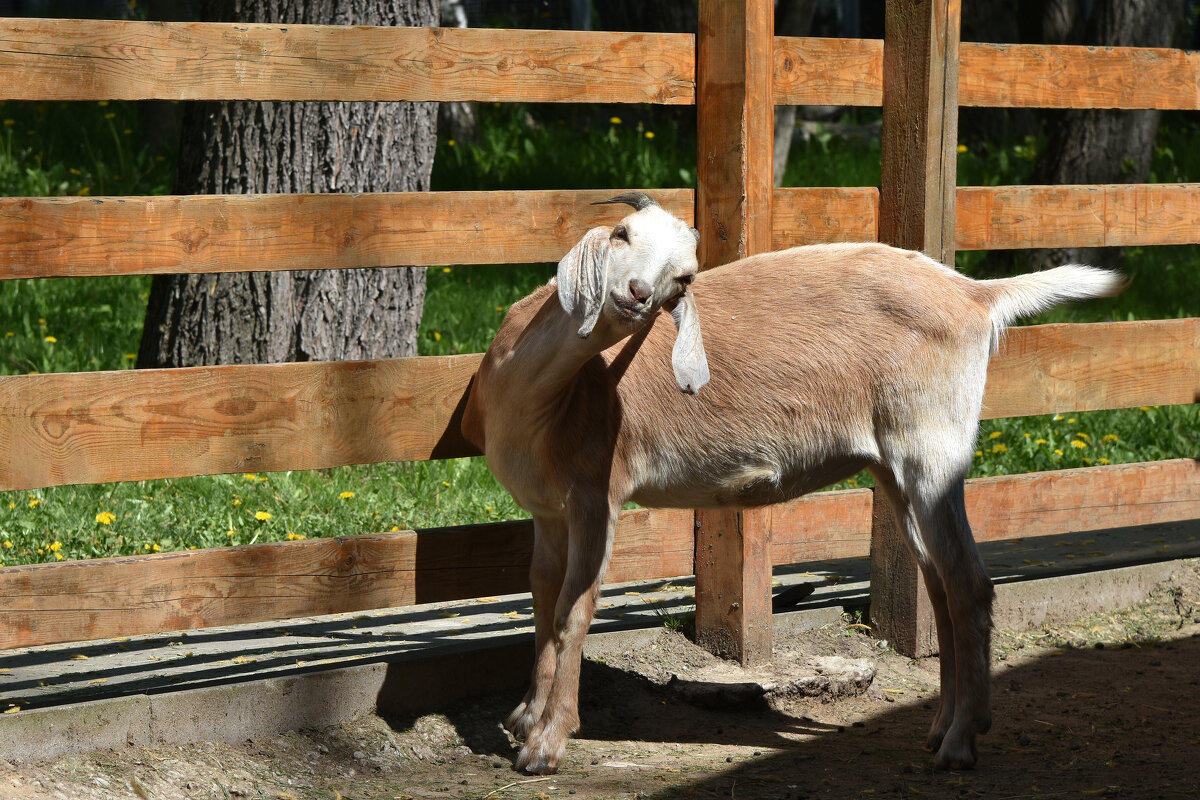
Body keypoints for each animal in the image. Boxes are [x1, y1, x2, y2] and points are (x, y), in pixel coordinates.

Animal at [458, 191, 1123, 777]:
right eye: (622, 234)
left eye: (684, 277)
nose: (637, 295)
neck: (544, 397)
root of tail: (976, 293)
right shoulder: (548, 510)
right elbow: (542, 600)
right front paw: (524, 715)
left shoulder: (599, 495)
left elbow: (573, 612)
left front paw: (545, 745)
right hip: (897, 471)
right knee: (938, 586)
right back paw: (942, 727)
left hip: (933, 449)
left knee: (969, 587)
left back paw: (961, 742)